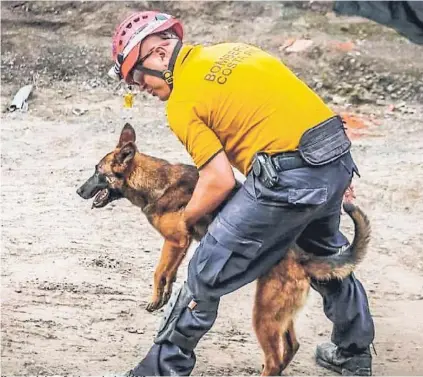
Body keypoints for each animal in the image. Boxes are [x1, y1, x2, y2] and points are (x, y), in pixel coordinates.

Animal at [77, 122, 372, 374]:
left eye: (97, 172)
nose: (78, 191)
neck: (154, 180)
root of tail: (301, 259)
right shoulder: (180, 244)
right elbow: (169, 272)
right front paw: (164, 295)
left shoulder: (175, 240)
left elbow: (159, 271)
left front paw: (155, 298)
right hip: (279, 314)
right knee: (290, 347)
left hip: (263, 315)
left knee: (275, 359)